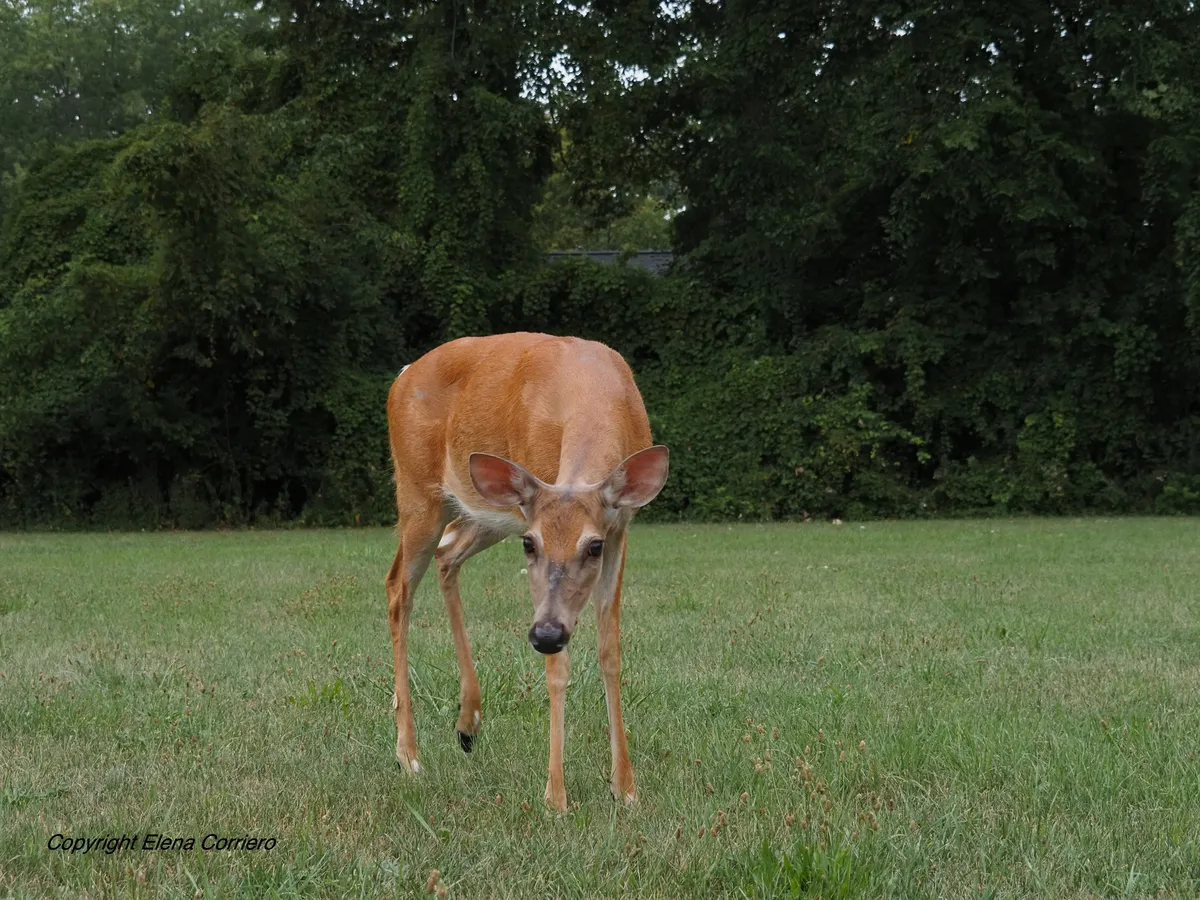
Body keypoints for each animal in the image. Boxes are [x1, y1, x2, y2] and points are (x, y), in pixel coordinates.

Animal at [384, 332, 669, 810]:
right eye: (530, 544)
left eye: (593, 545)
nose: (546, 634)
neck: (593, 393)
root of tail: (402, 375)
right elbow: (558, 668)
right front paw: (556, 796)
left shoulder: (621, 527)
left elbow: (610, 652)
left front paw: (625, 787)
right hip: (419, 493)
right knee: (397, 587)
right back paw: (409, 755)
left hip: (484, 512)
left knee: (448, 553)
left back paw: (468, 722)